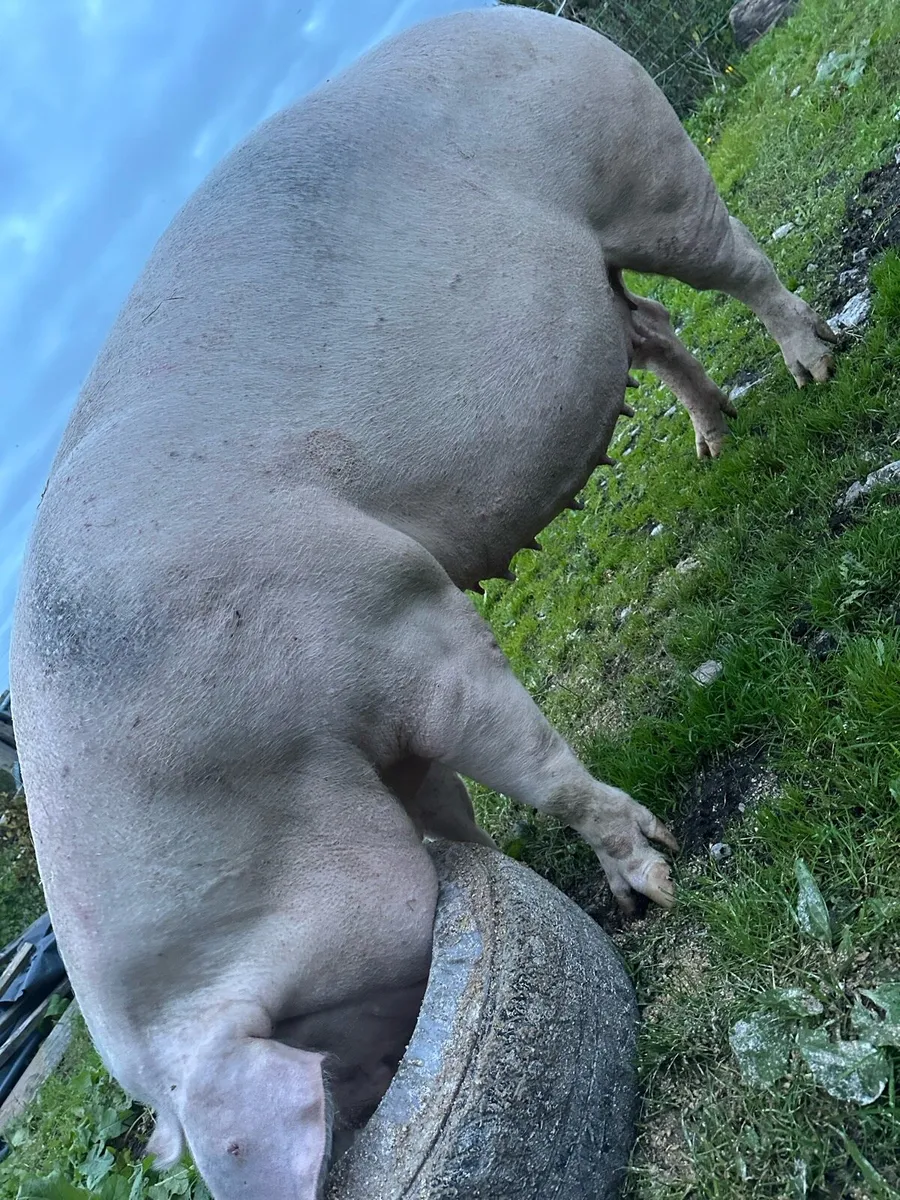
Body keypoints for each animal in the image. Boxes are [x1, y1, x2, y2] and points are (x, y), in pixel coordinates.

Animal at [9, 6, 835, 1197]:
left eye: (313, 1033)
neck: (244, 786)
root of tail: (506, 18)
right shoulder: (381, 754)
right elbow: (452, 819)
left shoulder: (400, 629)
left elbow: (537, 767)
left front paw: (648, 887)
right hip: (595, 275)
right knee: (653, 325)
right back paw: (718, 440)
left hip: (645, 173)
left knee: (735, 267)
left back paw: (816, 368)